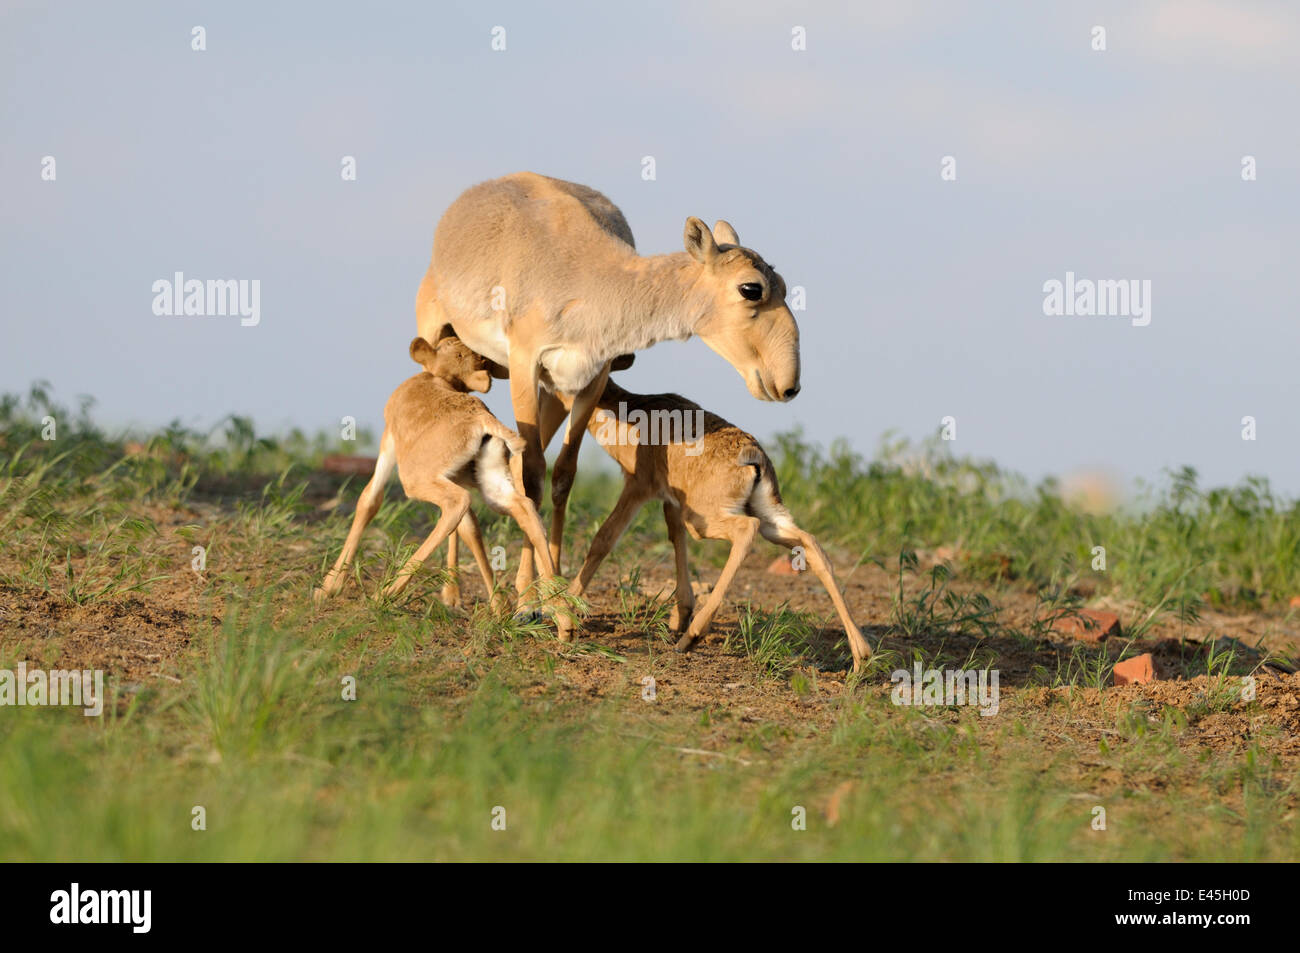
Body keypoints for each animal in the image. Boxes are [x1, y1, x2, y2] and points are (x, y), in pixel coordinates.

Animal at [416, 171, 800, 587]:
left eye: (783, 284)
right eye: (751, 288)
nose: (789, 385)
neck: (587, 279)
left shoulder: (589, 380)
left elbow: (563, 476)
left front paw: (550, 587)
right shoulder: (524, 366)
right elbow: (532, 476)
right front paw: (529, 595)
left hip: (554, 391)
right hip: (436, 341)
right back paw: (452, 590)